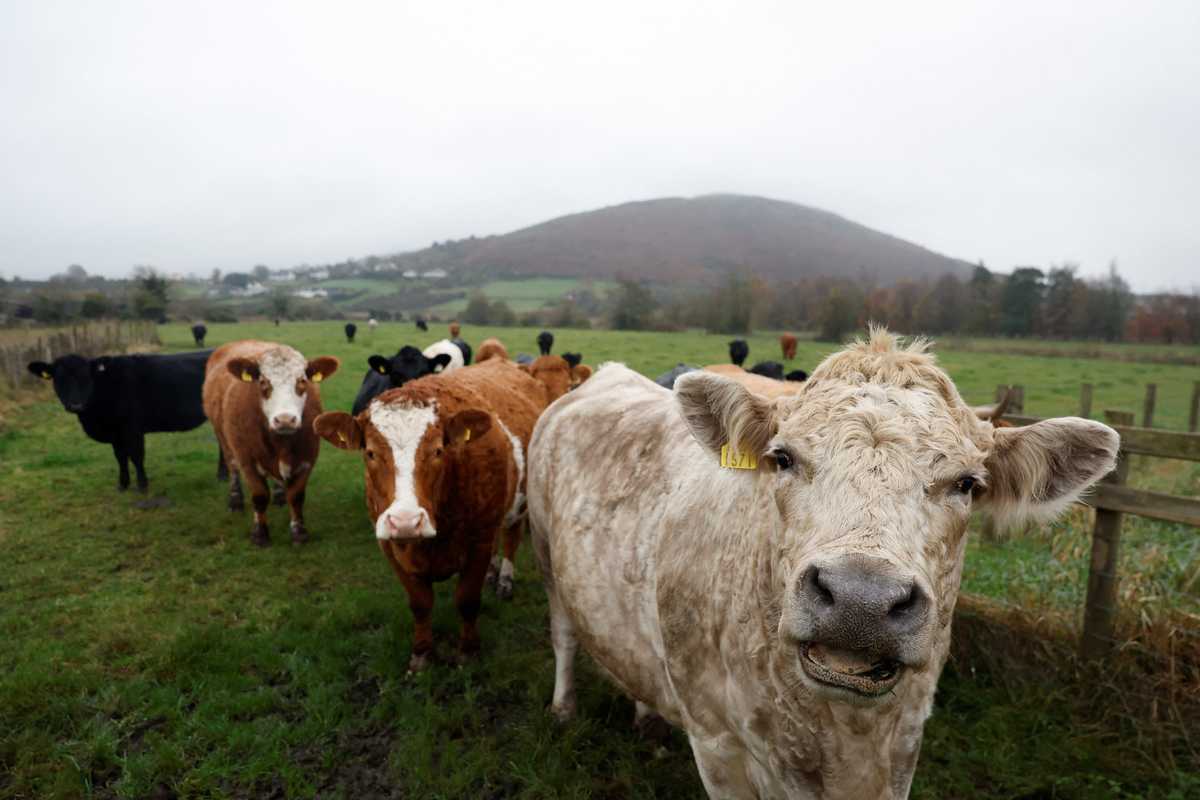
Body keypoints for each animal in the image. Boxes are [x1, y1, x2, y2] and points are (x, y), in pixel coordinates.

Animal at [28, 351, 211, 492]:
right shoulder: (116, 434)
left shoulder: (133, 429)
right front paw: (123, 484)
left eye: (86, 377)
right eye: (59, 379)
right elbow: (120, 457)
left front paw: (142, 485)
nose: (75, 405)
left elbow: (136, 456)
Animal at [203, 341, 340, 547]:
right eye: (263, 382)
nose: (285, 420)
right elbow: (259, 496)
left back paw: (279, 496)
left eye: (302, 381)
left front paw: (299, 532)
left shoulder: (307, 459)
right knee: (232, 467)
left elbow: (296, 496)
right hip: (223, 438)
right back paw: (235, 501)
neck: (280, 442)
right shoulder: (247, 460)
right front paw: (260, 534)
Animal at [313, 359, 543, 671]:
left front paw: (468, 651)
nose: (405, 522)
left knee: (510, 537)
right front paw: (422, 654)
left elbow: (467, 600)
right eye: (370, 453)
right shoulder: (389, 546)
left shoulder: (479, 540)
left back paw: (505, 579)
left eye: (438, 451)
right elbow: (420, 604)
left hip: (518, 504)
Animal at [528, 328, 1119, 799]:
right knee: (562, 633)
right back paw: (561, 708)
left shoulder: (903, 748)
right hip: (547, 555)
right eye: (783, 458)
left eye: (967, 484)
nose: (861, 600)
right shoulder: (717, 745)